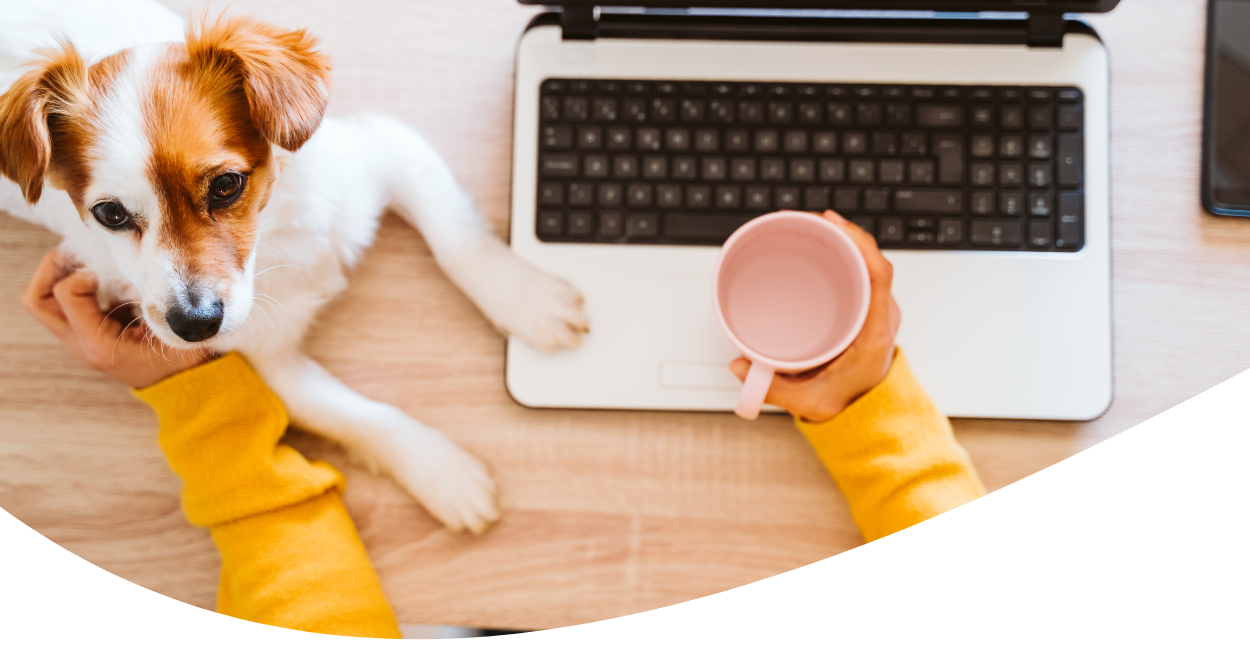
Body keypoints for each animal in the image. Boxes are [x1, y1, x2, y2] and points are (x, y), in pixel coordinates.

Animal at [1, 1, 590, 532]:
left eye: (226, 184)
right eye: (111, 214)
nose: (195, 326)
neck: (273, 241)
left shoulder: (384, 151)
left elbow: (457, 241)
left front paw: (529, 303)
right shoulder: (267, 361)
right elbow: (358, 417)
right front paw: (442, 473)